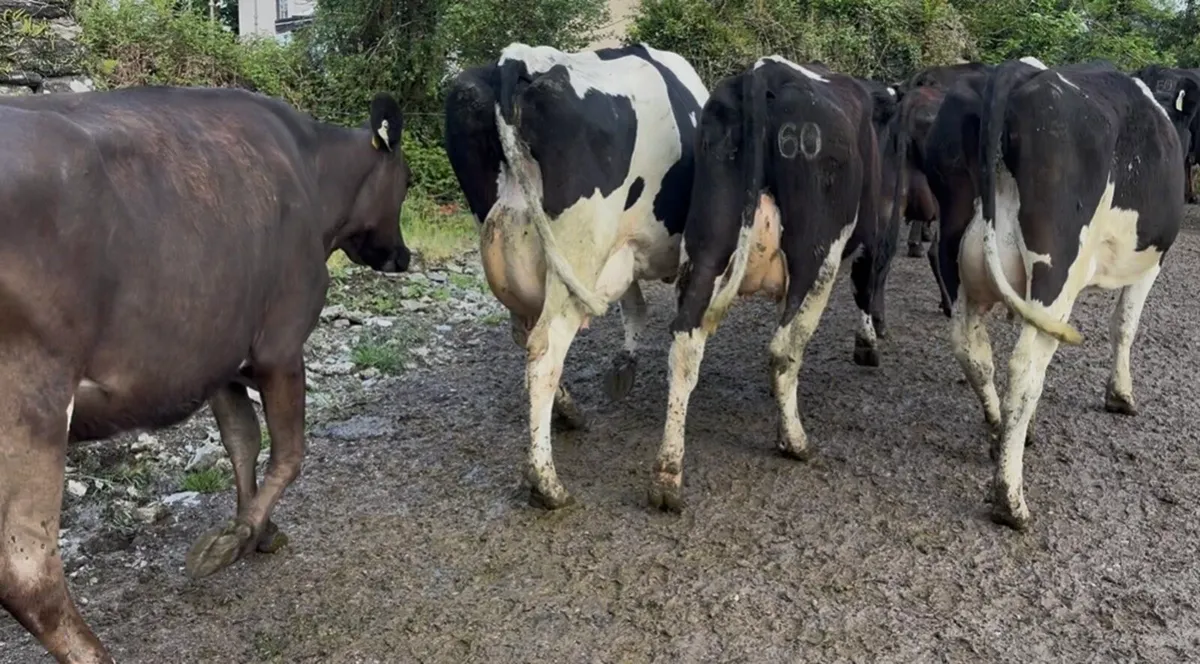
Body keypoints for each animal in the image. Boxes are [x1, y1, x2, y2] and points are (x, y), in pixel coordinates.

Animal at [0, 85, 412, 663]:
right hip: (31, 399)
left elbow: (242, 442)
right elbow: (290, 452)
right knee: (27, 572)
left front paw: (257, 529)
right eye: (408, 180)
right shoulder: (280, 343)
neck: (311, 168)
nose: (403, 255)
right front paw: (234, 541)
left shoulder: (219, 358)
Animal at [443, 43, 709, 509]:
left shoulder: (623, 251)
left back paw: (567, 411)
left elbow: (634, 307)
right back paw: (545, 482)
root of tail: (516, 61)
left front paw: (624, 362)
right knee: (545, 350)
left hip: (511, 251)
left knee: (525, 334)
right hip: (578, 250)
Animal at [649, 56, 899, 512]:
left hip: (706, 243)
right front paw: (868, 346)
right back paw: (796, 441)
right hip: (817, 255)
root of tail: (763, 72)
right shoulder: (874, 237)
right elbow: (866, 288)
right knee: (784, 347)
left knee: (685, 342)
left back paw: (667, 476)